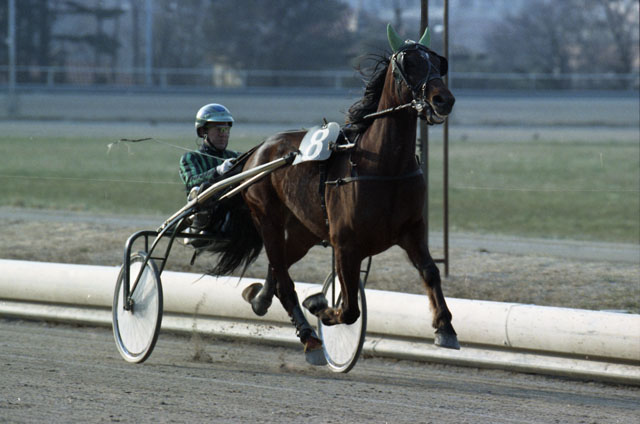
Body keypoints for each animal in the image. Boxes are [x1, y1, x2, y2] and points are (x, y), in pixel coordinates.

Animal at [210, 24, 460, 364]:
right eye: (409, 65)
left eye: (437, 62)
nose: (443, 99)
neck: (385, 167)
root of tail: (260, 148)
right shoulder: (345, 244)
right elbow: (350, 308)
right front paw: (320, 306)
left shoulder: (412, 231)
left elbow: (431, 271)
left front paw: (445, 327)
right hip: (267, 219)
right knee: (283, 278)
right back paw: (308, 337)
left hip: (303, 231)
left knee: (279, 266)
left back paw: (259, 298)